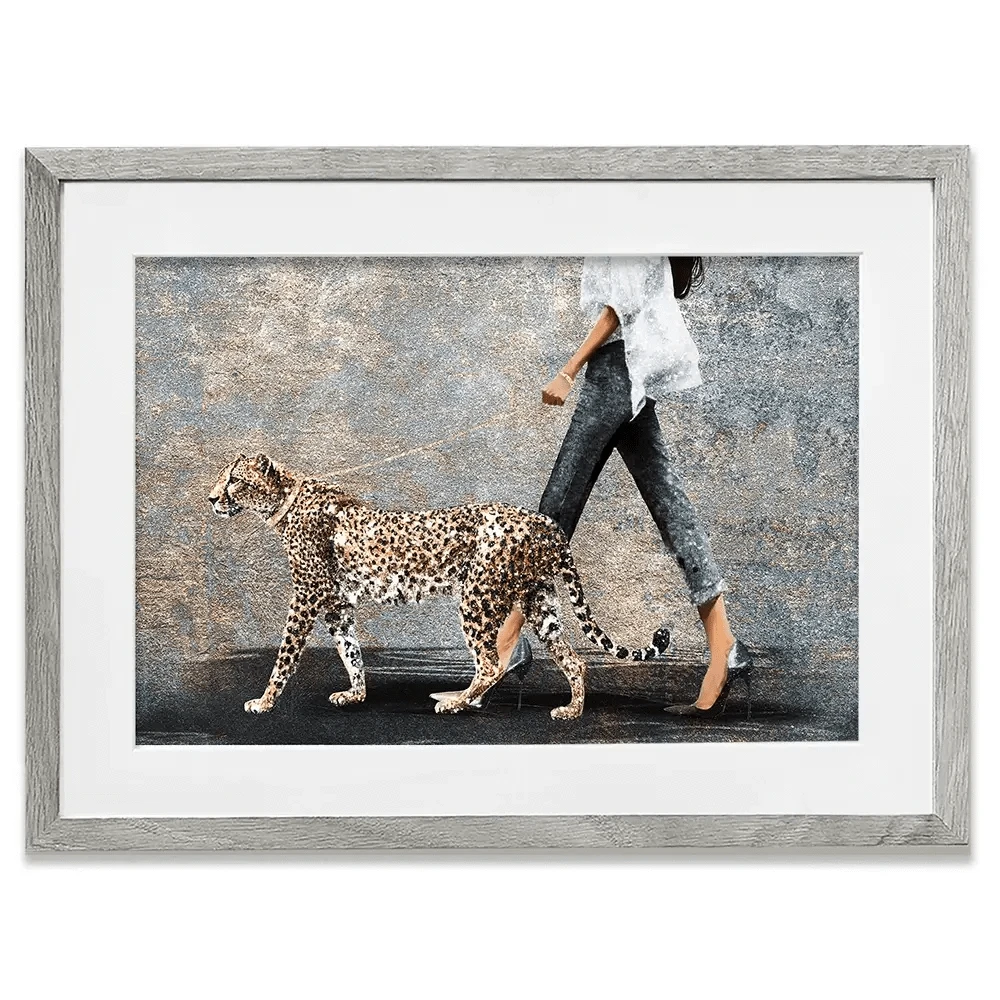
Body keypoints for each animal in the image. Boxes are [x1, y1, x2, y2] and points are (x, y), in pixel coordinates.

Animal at [208, 453, 671, 720]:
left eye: (234, 480)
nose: (212, 498)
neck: (281, 503)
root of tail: (547, 524)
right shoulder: (338, 606)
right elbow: (350, 651)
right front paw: (356, 694)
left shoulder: (305, 598)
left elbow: (285, 657)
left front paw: (264, 701)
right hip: (539, 602)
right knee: (573, 659)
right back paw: (572, 709)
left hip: (477, 597)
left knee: (491, 662)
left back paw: (457, 701)